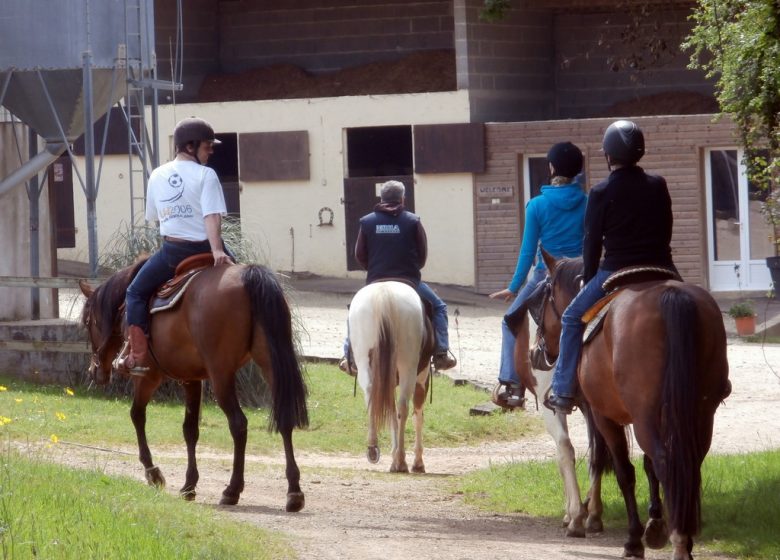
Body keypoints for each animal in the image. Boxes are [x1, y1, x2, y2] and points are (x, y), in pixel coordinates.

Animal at [77, 258, 310, 512]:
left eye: (87, 322)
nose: (94, 371)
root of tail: (250, 275)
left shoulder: (148, 376)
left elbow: (137, 415)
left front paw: (153, 473)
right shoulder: (191, 378)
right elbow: (190, 430)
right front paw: (189, 485)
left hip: (221, 375)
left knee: (238, 424)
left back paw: (232, 490)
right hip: (270, 364)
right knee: (284, 418)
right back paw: (294, 492)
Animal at [348, 280, 436, 472]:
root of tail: (384, 294)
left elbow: (391, 411)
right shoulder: (422, 378)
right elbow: (417, 416)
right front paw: (417, 461)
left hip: (365, 361)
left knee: (372, 397)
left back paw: (374, 448)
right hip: (408, 367)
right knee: (404, 407)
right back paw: (402, 461)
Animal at [524, 252, 732, 556]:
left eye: (540, 301)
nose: (536, 354)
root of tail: (670, 296)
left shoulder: (601, 414)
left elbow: (619, 468)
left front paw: (628, 536)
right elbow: (643, 465)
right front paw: (654, 524)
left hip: (645, 414)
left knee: (662, 461)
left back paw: (678, 540)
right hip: (700, 413)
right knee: (685, 463)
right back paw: (682, 533)